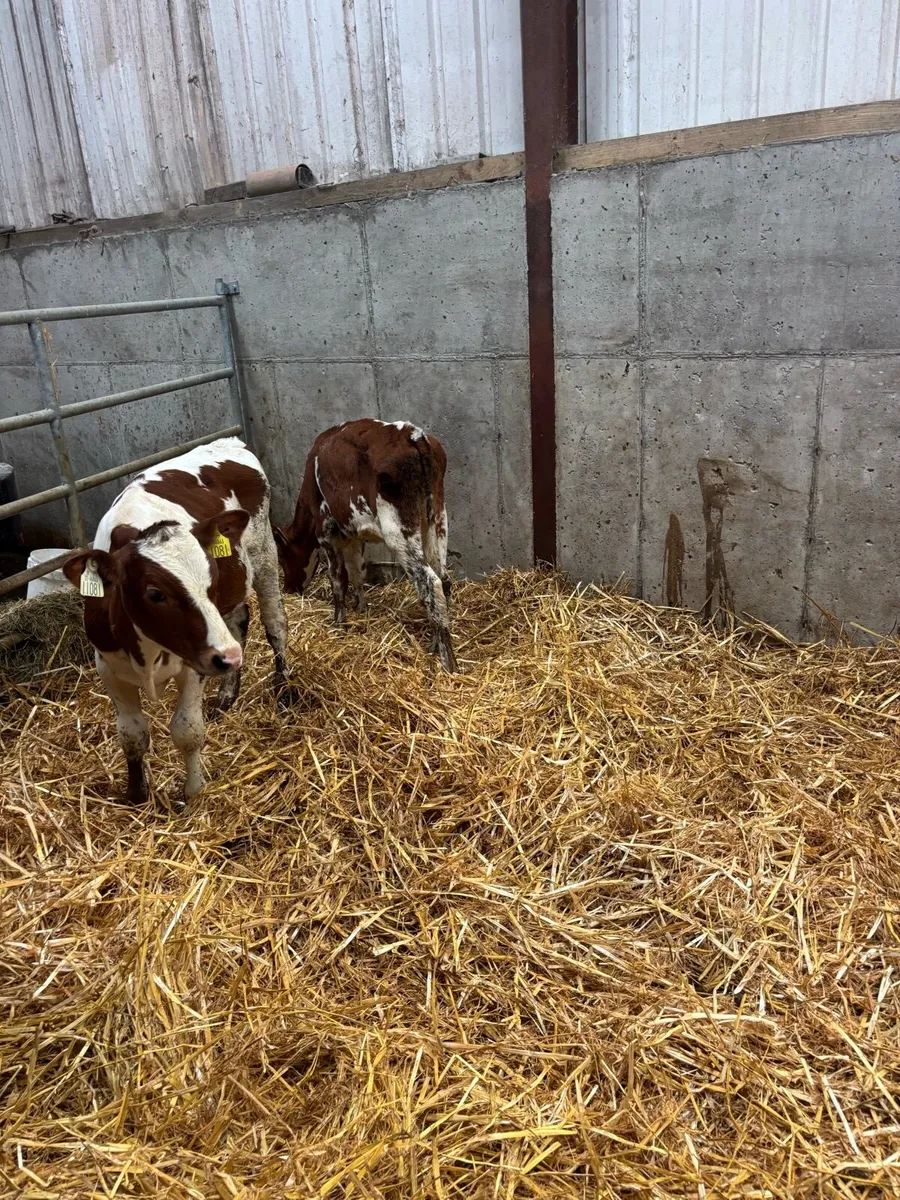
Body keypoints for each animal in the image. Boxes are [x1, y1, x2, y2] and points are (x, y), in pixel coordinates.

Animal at [63, 437, 293, 808]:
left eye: (211, 578)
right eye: (155, 594)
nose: (227, 657)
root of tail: (228, 442)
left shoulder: (195, 665)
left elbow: (187, 730)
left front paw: (194, 791)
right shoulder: (108, 667)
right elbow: (132, 734)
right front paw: (136, 794)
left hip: (263, 556)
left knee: (275, 623)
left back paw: (284, 690)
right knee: (239, 620)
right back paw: (226, 695)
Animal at [274, 419, 458, 672]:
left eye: (282, 557)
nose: (289, 589)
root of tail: (413, 435)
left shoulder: (325, 530)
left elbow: (338, 580)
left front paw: (339, 624)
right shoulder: (354, 534)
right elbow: (357, 571)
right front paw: (361, 607)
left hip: (398, 530)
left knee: (431, 582)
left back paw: (448, 662)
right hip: (436, 519)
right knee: (444, 579)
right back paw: (434, 643)